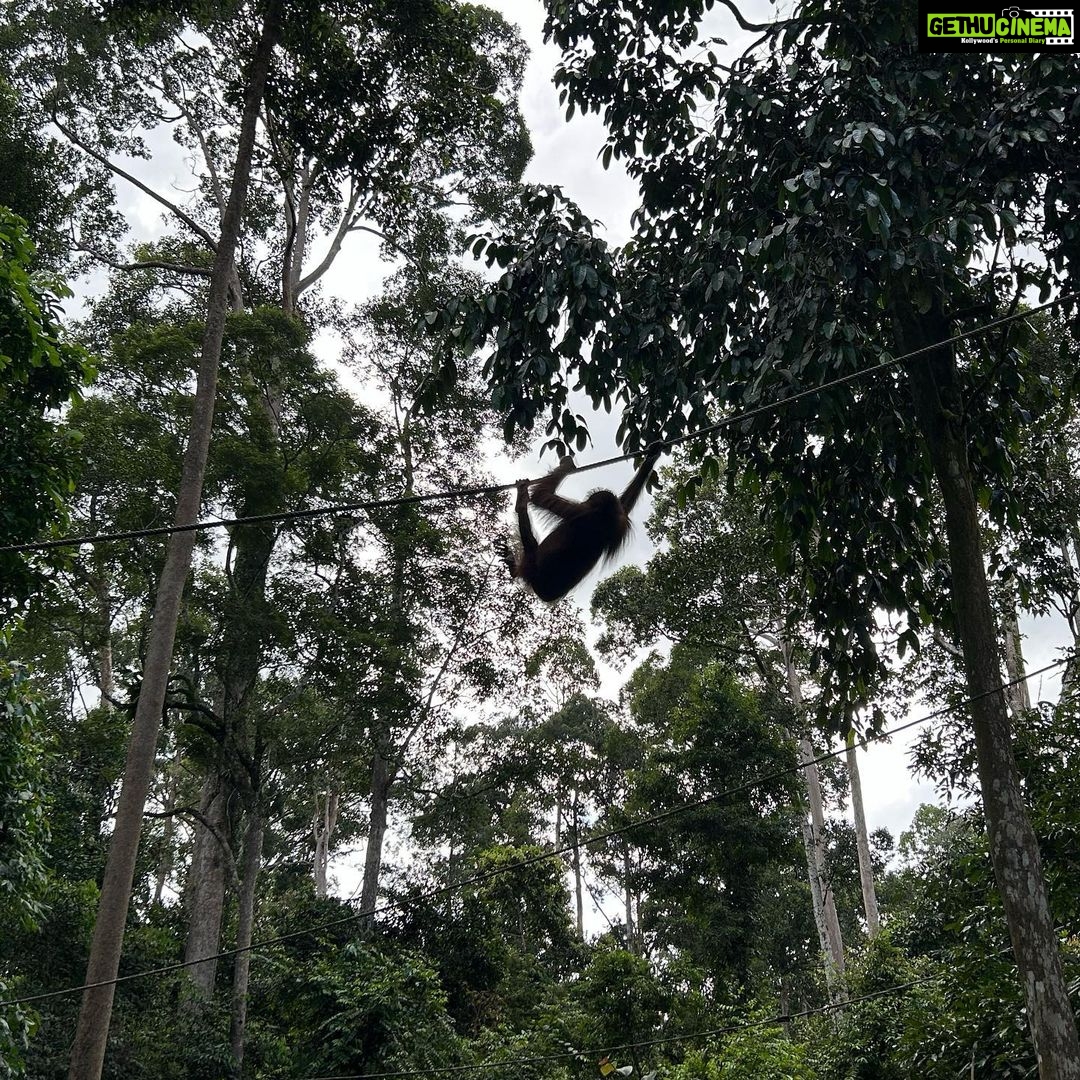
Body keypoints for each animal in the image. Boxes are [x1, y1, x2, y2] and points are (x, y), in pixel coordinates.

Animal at [499, 447, 662, 602]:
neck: (605, 516)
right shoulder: (619, 522)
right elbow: (625, 505)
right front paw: (652, 455)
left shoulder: (580, 510)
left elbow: (540, 496)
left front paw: (567, 465)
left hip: (531, 564)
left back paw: (521, 501)